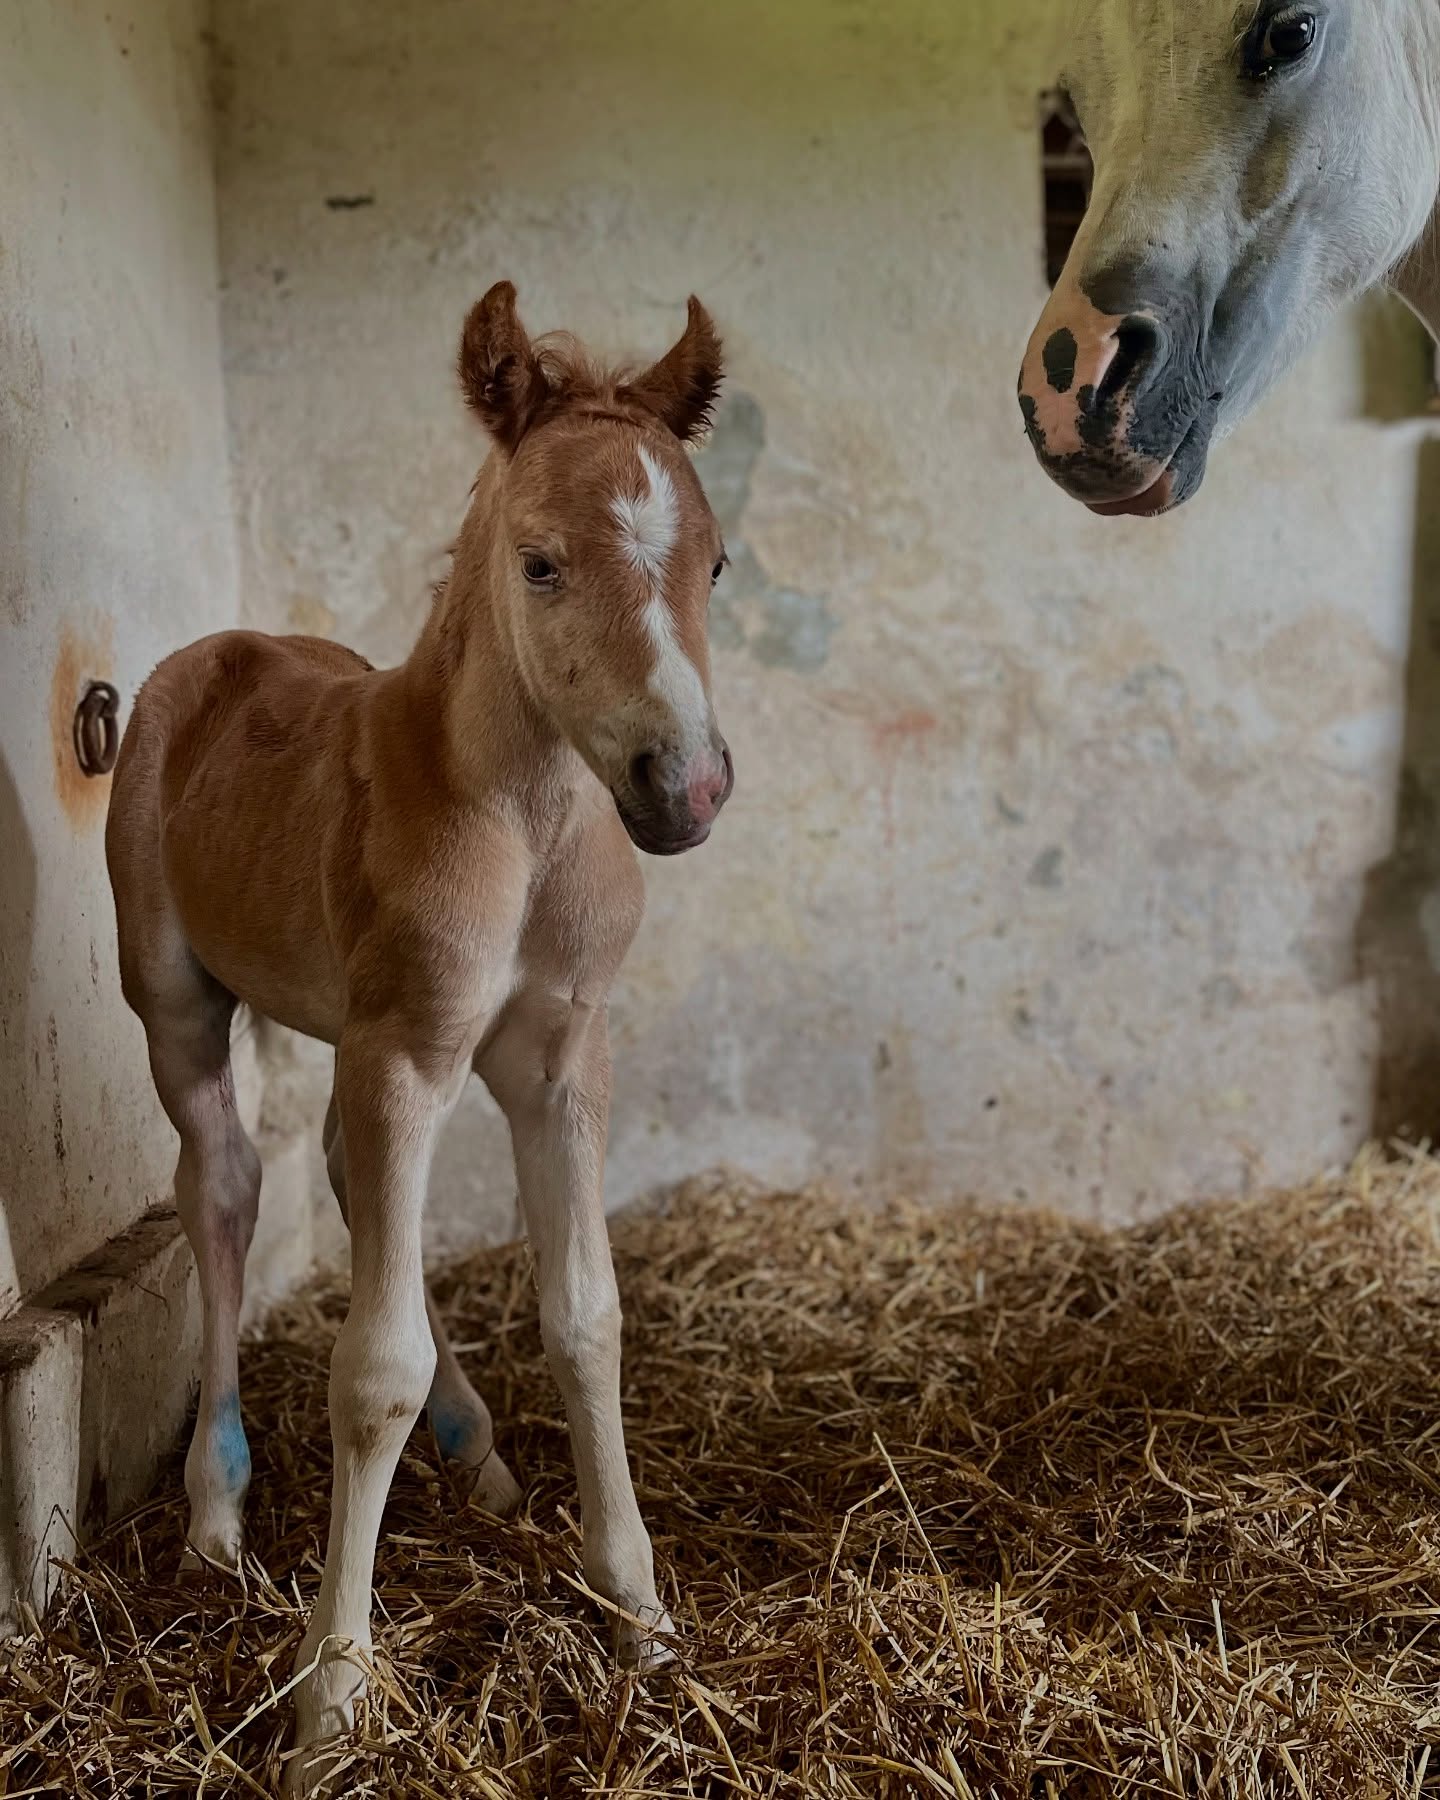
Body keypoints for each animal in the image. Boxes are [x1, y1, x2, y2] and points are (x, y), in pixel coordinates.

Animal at [104, 280, 734, 1791]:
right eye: (542, 563)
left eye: (720, 565)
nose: (685, 787)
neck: (527, 817)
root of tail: (220, 651)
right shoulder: (406, 1052)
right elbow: (368, 1364)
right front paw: (332, 1698)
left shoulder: (559, 1061)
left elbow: (588, 1316)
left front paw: (642, 1625)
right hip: (177, 1004)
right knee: (225, 1184)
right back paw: (215, 1519)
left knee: (332, 1173)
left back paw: (481, 1455)